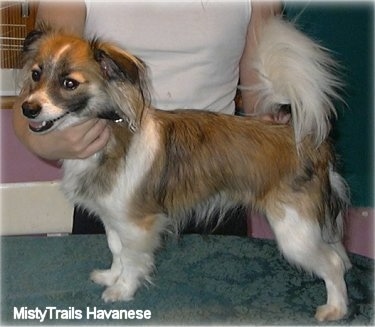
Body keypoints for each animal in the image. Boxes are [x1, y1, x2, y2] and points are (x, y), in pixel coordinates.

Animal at [18, 16, 352, 322]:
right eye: (35, 75)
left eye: (69, 83)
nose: (27, 108)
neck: (112, 136)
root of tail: (304, 137)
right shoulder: (114, 218)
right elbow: (117, 249)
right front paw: (112, 276)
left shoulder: (138, 224)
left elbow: (133, 258)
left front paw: (123, 290)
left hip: (294, 230)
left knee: (333, 264)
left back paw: (336, 308)